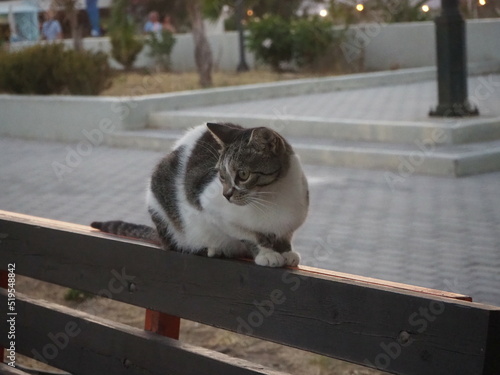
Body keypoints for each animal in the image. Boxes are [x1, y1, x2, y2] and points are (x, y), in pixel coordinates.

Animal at [91, 122, 308, 268]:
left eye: (243, 175)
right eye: (221, 175)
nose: (226, 195)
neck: (273, 194)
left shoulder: (291, 221)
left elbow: (285, 235)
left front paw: (286, 251)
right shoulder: (210, 208)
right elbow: (248, 234)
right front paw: (265, 253)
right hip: (161, 203)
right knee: (176, 244)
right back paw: (209, 249)